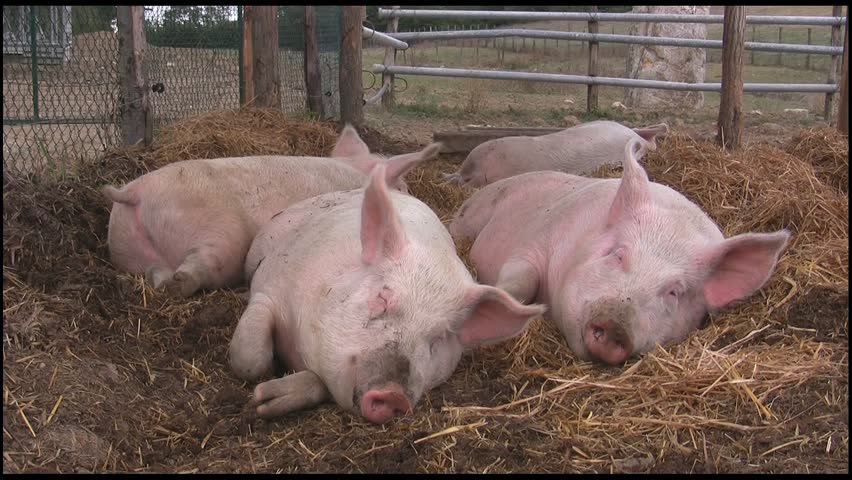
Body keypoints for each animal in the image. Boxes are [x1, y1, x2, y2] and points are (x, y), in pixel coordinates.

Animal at [102, 125, 434, 298]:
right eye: (403, 187)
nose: (411, 195)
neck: (357, 172)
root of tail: (134, 193)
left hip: (127, 248)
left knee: (156, 274)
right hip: (220, 230)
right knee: (200, 265)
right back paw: (180, 283)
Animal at [229, 164, 547, 424]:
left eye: (438, 338)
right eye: (382, 299)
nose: (393, 394)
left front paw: (270, 398)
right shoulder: (271, 285)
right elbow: (249, 360)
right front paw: (260, 400)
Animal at [449, 138, 790, 366]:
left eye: (675, 291)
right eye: (618, 254)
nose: (616, 324)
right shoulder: (536, 240)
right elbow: (519, 281)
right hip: (470, 216)